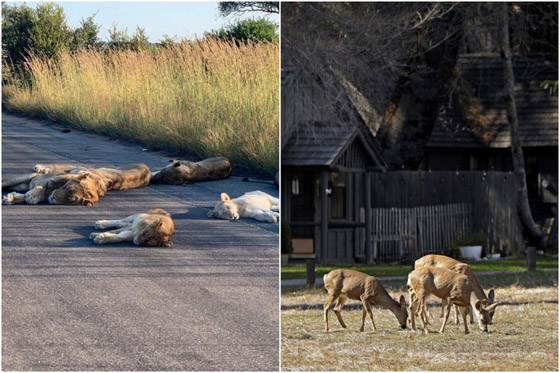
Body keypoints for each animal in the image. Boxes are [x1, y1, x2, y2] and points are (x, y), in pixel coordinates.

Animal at [2, 162, 151, 205]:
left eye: (70, 199)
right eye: (67, 187)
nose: (53, 198)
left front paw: (12, 198)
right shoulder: (50, 180)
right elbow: (40, 187)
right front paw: (31, 196)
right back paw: (40, 167)